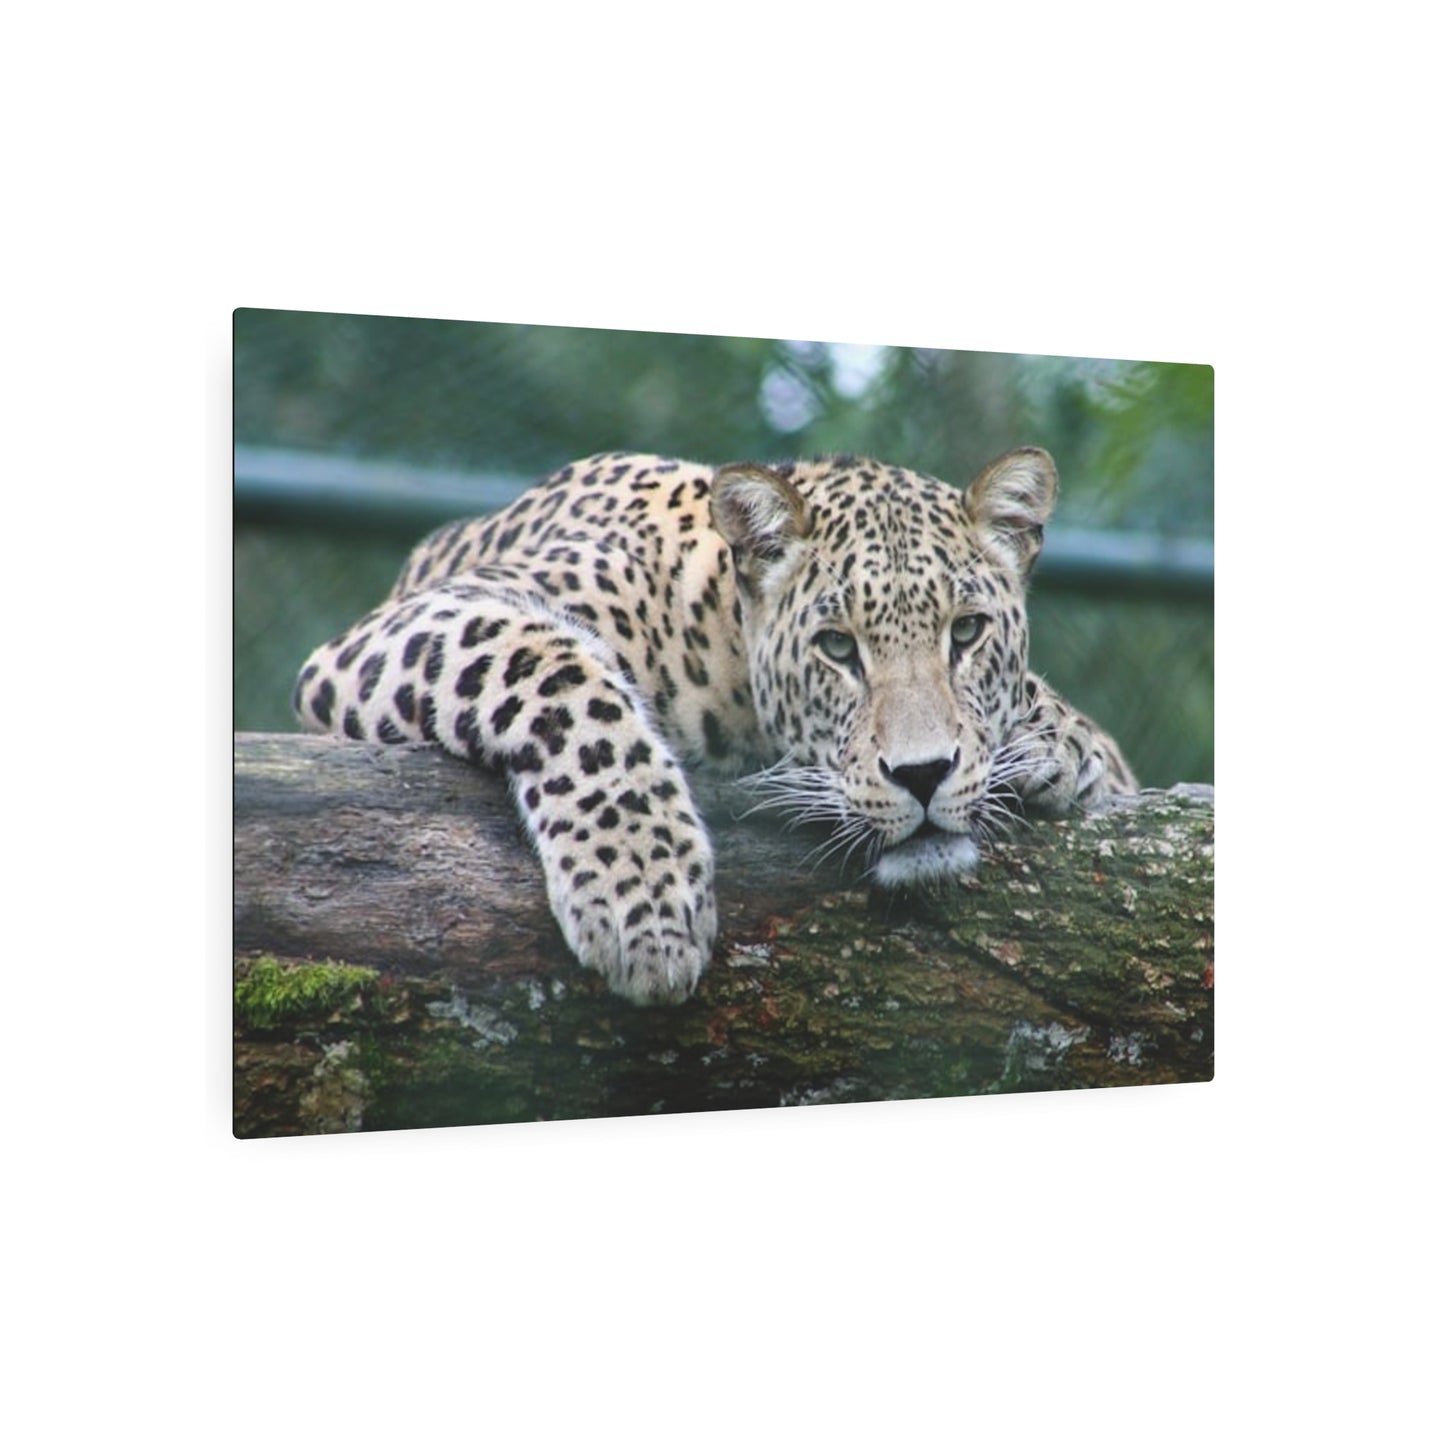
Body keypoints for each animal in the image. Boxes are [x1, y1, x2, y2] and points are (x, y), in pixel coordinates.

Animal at [294, 447, 1137, 1005]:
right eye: (837, 647)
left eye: (965, 632)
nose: (922, 774)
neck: (721, 637)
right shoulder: (407, 626)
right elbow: (560, 672)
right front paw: (642, 894)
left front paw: (1064, 746)